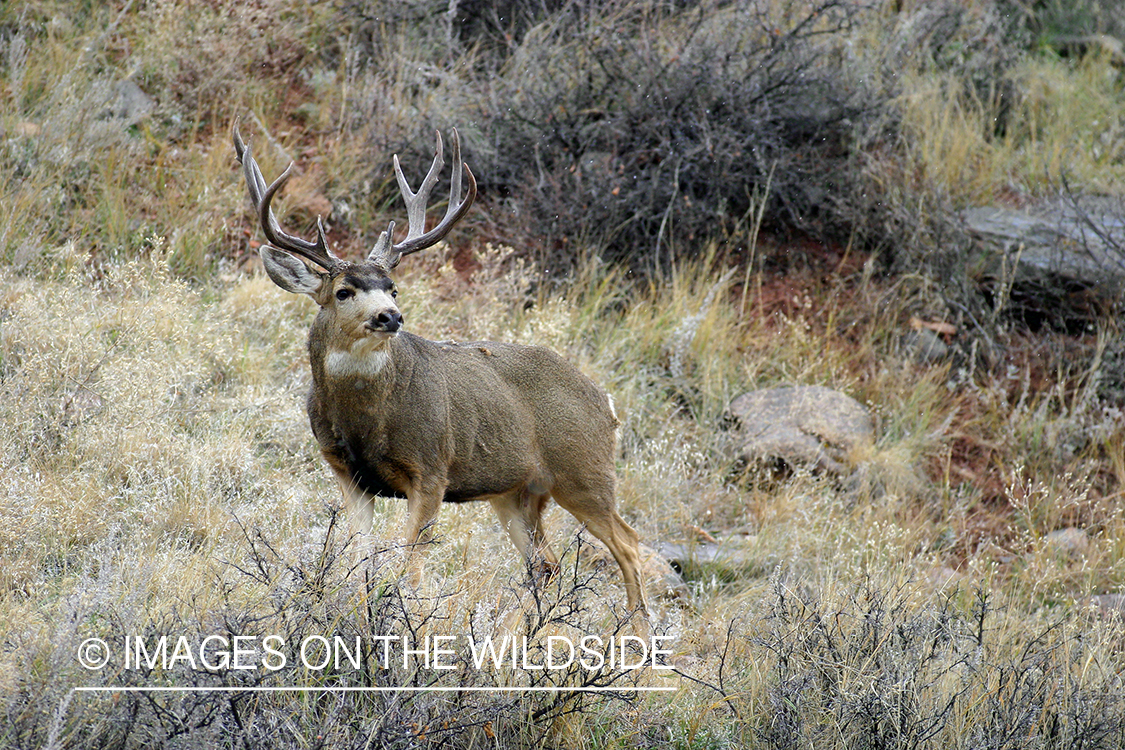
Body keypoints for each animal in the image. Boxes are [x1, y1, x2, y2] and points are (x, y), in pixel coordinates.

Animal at [230, 122, 652, 616]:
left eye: (393, 286)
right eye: (343, 291)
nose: (390, 316)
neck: (365, 423)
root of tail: (607, 403)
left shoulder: (432, 469)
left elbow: (409, 567)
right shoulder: (346, 473)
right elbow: (358, 559)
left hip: (583, 470)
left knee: (628, 544)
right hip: (517, 492)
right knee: (546, 565)